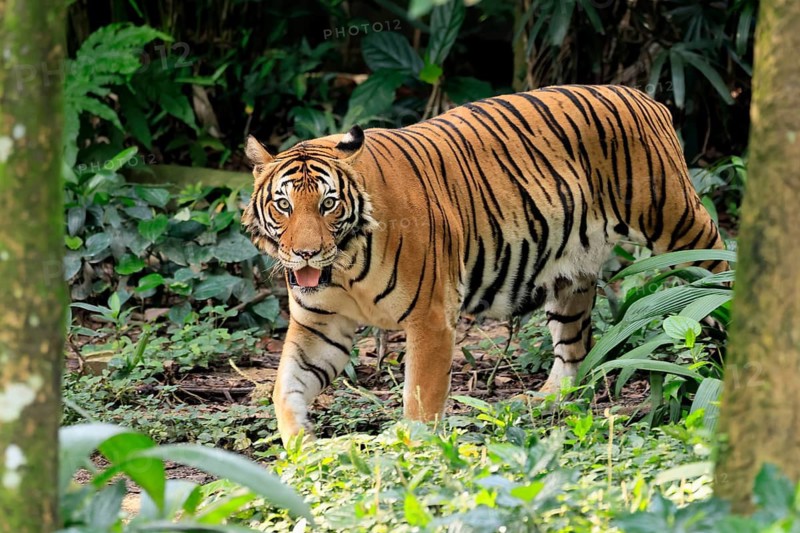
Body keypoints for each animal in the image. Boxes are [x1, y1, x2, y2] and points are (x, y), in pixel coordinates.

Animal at [242, 84, 727, 446]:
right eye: (284, 205)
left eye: (328, 204)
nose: (305, 253)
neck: (343, 266)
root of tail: (644, 97)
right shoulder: (319, 325)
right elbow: (286, 386)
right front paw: (301, 446)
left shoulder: (431, 317)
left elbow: (421, 397)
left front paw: (412, 449)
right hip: (570, 276)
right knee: (574, 347)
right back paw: (545, 400)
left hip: (677, 223)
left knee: (716, 273)